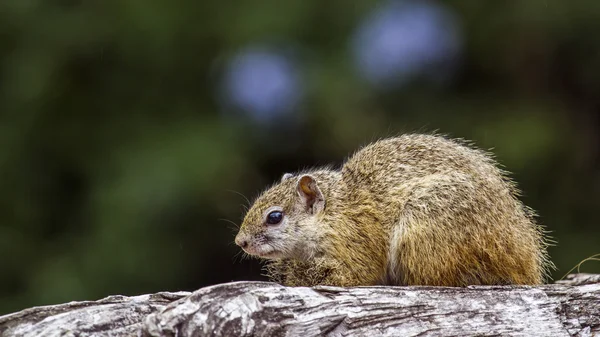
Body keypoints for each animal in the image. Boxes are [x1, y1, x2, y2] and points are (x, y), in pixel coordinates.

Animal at [233, 133, 552, 284]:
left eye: (274, 217)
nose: (240, 242)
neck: (337, 213)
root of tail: (526, 265)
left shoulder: (355, 252)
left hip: (427, 226)